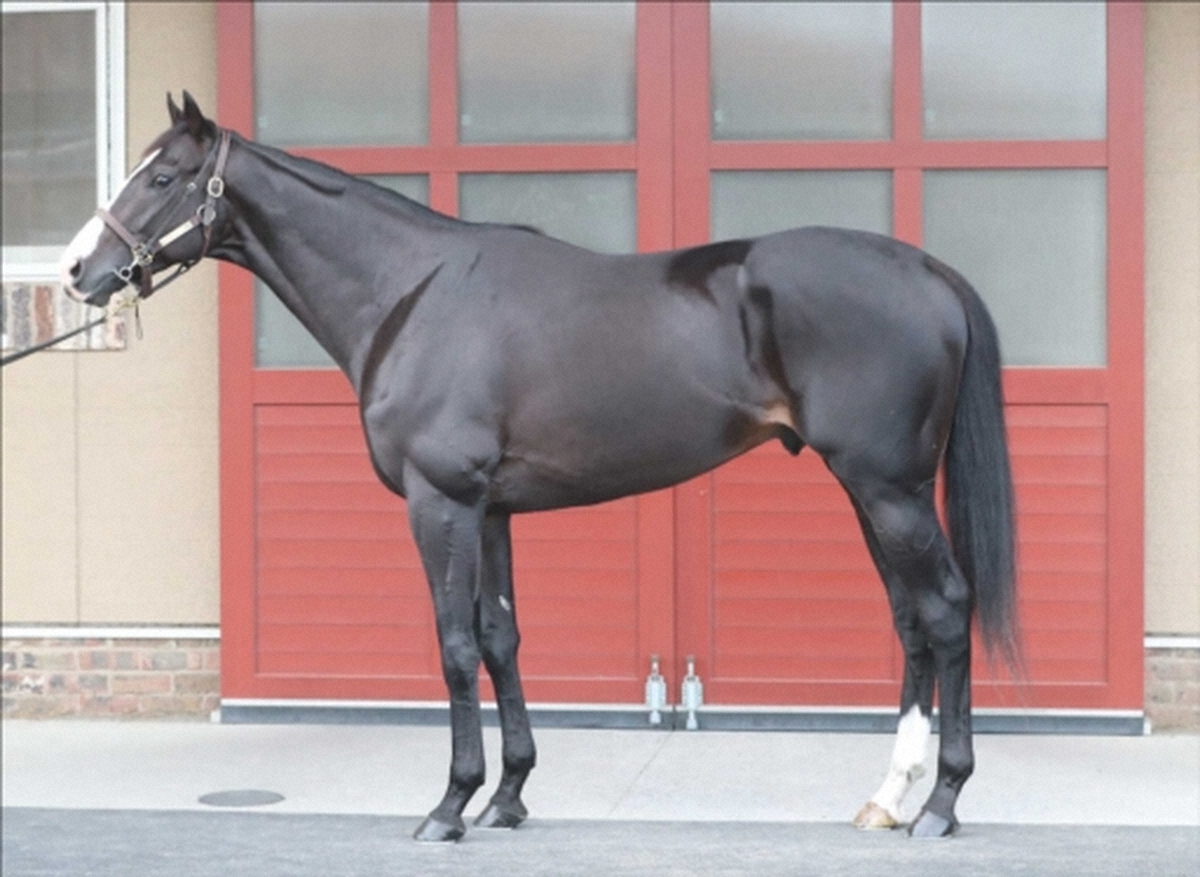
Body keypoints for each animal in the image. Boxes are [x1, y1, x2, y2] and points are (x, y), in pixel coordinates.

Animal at [60, 93, 1016, 841]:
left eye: (161, 178)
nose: (77, 270)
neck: (413, 292)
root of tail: (929, 271)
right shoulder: (490, 510)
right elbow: (500, 638)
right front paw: (510, 794)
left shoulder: (439, 502)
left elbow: (453, 646)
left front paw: (450, 804)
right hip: (872, 490)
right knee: (911, 620)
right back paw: (889, 797)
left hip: (889, 489)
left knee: (944, 608)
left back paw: (942, 802)